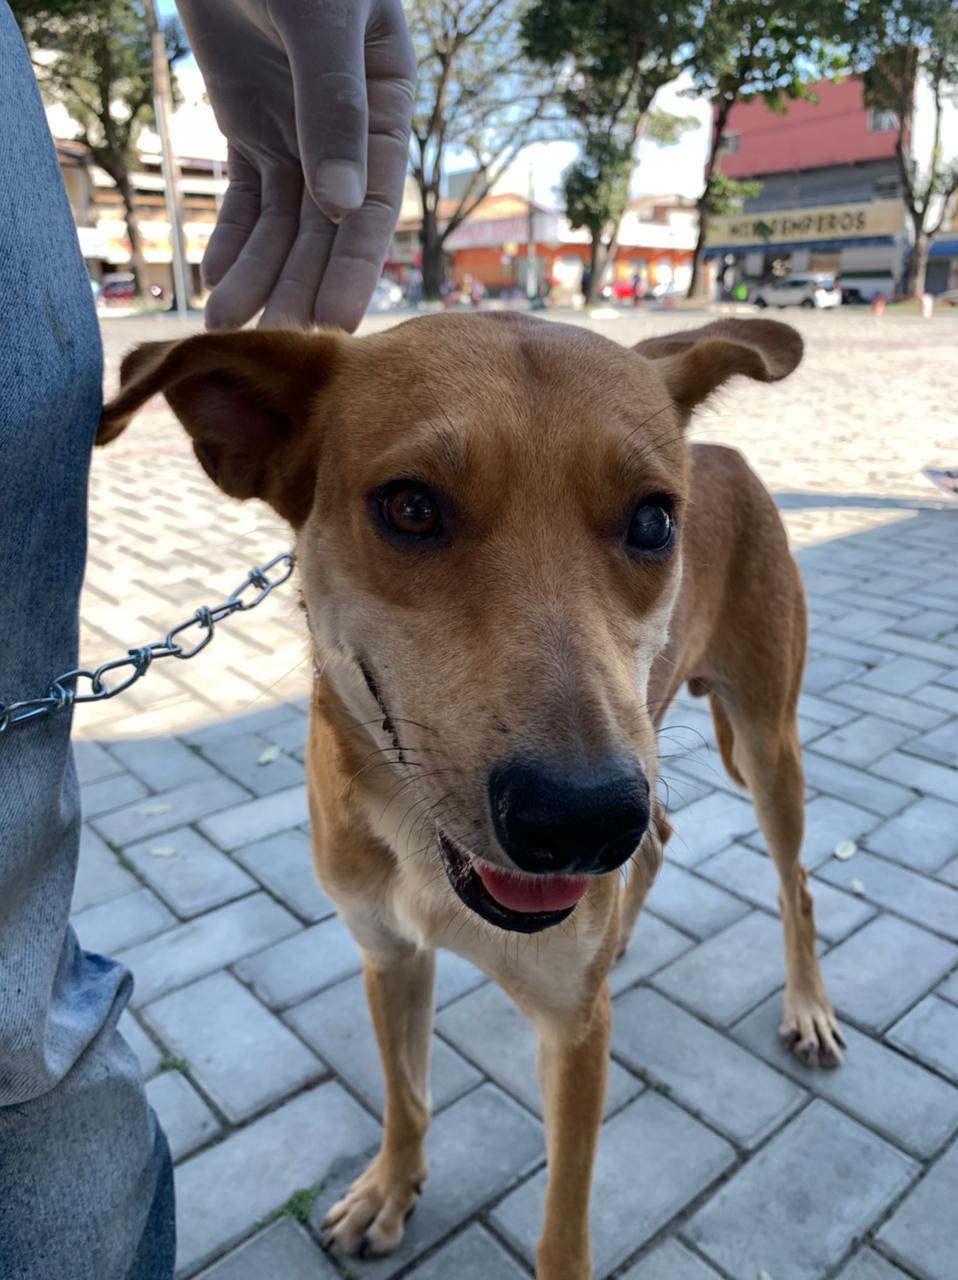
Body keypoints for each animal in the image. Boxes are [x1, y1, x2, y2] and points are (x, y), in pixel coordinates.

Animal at [99, 312, 845, 1280]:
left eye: (653, 519)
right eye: (411, 507)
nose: (582, 821)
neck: (425, 853)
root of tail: (721, 451)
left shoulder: (574, 1033)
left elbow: (563, 1221)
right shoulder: (388, 955)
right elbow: (407, 1094)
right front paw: (391, 1187)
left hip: (760, 742)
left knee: (790, 881)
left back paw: (807, 1006)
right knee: (661, 835)